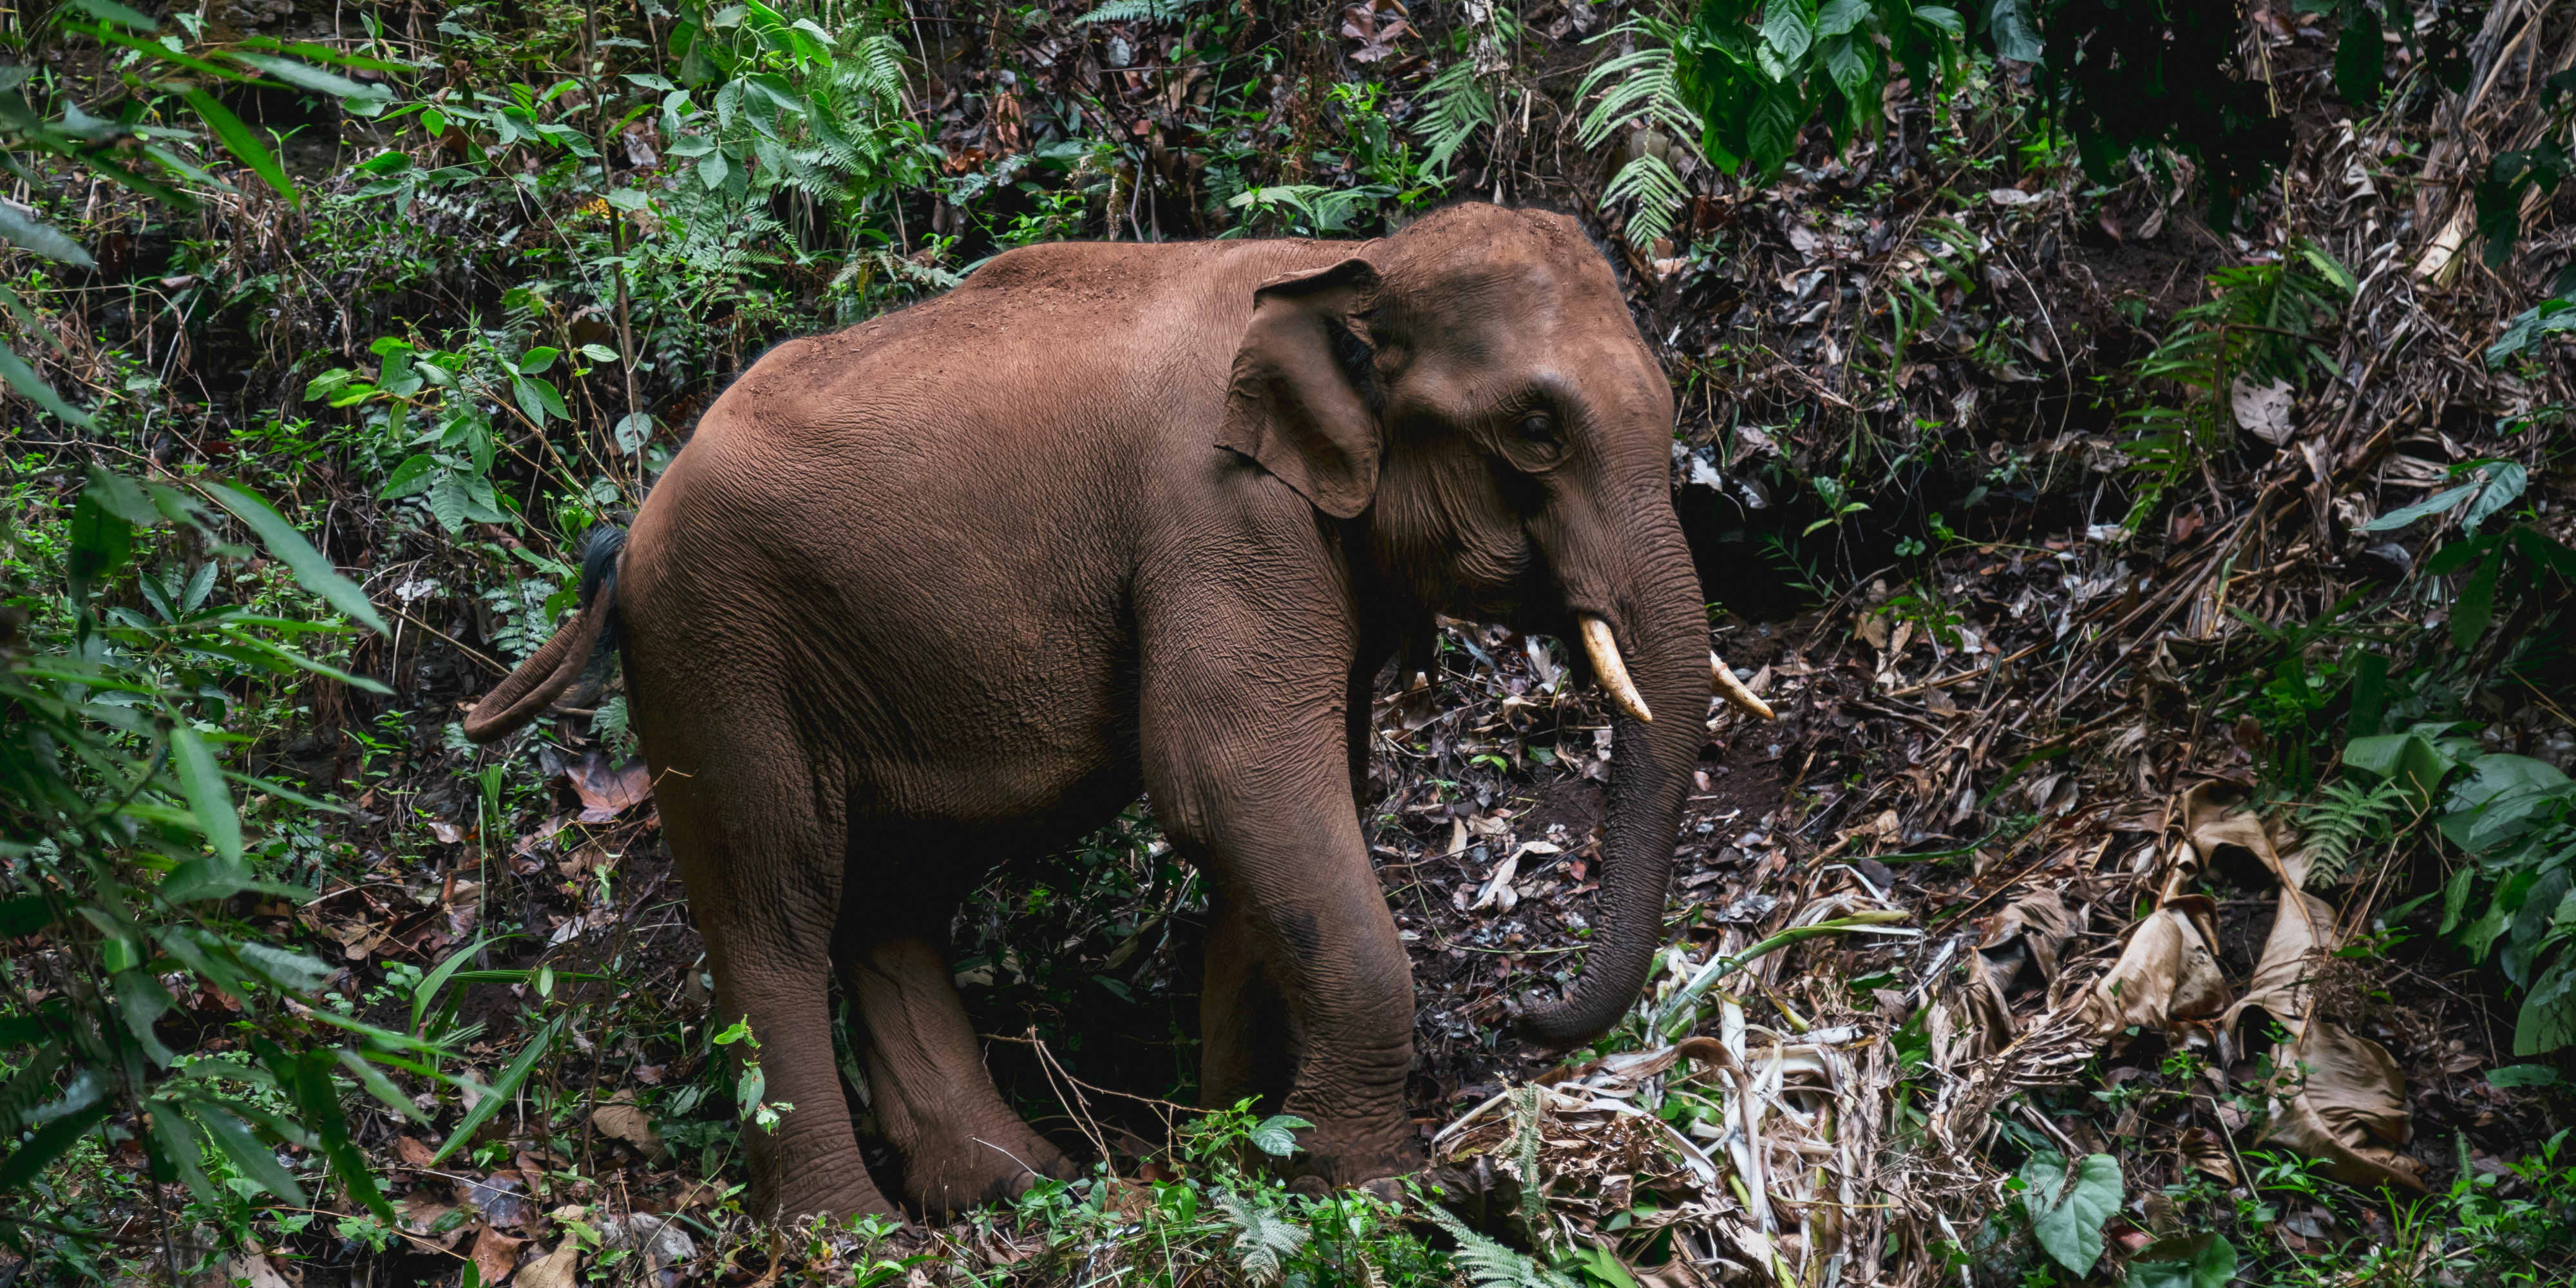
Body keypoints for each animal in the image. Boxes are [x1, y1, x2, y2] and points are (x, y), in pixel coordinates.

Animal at [464, 201, 1772, 1216]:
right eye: (1536, 428)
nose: (1525, 1007)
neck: (1350, 257)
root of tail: (630, 532)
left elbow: (1296, 807)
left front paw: (1243, 1145)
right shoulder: (1219, 516)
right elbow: (1230, 779)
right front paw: (1374, 1185)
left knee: (889, 897)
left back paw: (1013, 1186)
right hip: (716, 651)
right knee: (773, 906)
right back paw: (856, 1232)